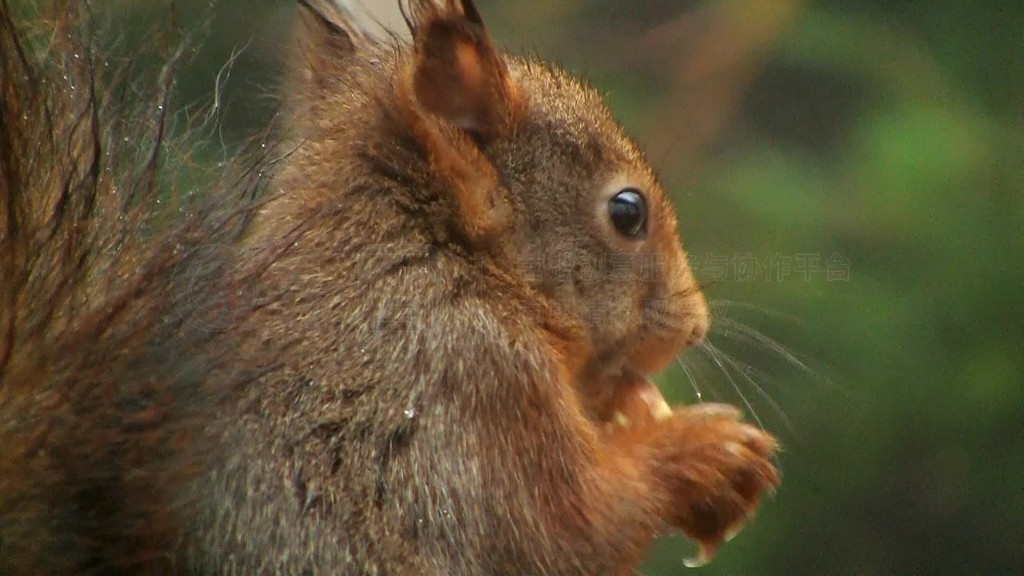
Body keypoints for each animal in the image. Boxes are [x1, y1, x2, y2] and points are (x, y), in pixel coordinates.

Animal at [0, 1, 778, 573]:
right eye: (627, 212)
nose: (696, 327)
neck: (434, 254)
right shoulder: (471, 389)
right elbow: (573, 528)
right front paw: (708, 452)